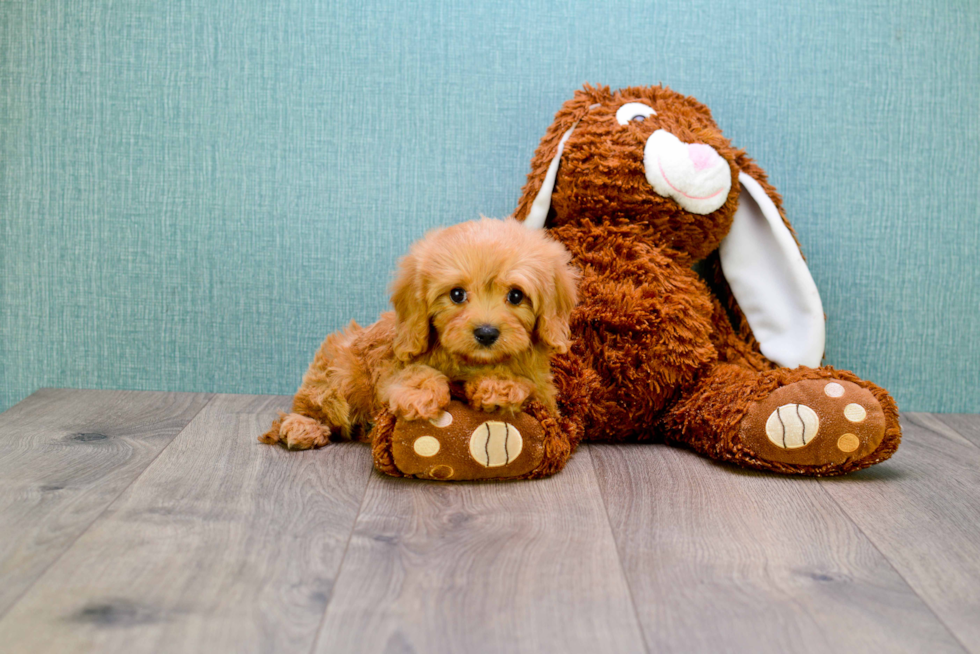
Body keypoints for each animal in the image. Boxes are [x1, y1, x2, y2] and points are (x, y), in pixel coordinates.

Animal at [260, 219, 580, 452]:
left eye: (516, 296)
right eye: (456, 294)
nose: (486, 333)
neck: (471, 361)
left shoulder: (546, 397)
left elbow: (525, 384)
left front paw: (499, 386)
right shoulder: (393, 365)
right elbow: (414, 373)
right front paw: (421, 394)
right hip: (339, 372)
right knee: (313, 406)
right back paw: (304, 426)